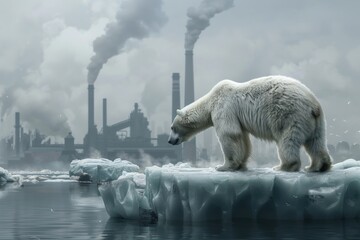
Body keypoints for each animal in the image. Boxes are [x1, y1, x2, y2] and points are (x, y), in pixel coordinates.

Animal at [169, 76, 332, 172]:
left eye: (172, 127)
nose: (170, 141)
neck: (210, 101)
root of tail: (313, 105)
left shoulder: (224, 108)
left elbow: (229, 134)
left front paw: (222, 166)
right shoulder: (237, 118)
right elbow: (242, 137)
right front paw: (241, 164)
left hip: (289, 115)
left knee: (287, 140)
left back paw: (283, 166)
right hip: (316, 121)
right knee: (316, 141)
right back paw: (317, 166)